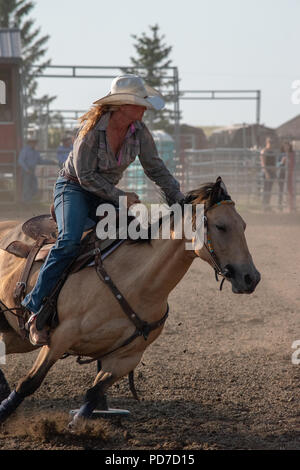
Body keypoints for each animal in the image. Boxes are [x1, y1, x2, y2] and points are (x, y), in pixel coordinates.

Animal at [0, 177, 258, 426]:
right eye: (221, 226)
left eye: (244, 226)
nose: (251, 277)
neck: (137, 283)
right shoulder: (59, 337)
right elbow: (29, 382)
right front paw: (5, 411)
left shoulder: (126, 358)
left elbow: (93, 394)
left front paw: (78, 425)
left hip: (17, 336)